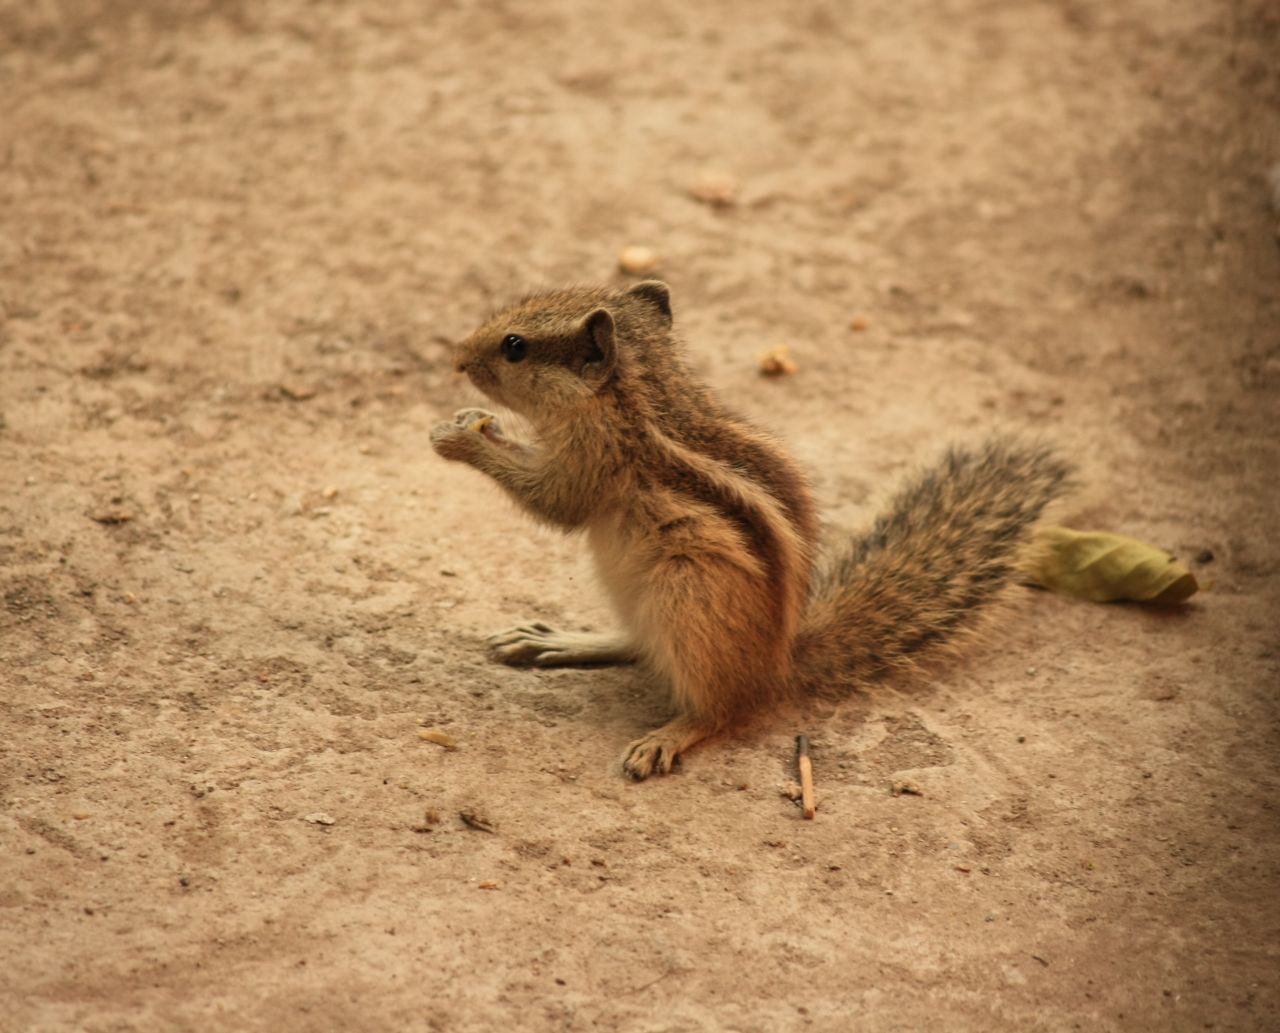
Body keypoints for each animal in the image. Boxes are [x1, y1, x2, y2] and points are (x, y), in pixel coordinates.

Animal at [435, 279, 1075, 778]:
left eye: (514, 346)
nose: (458, 358)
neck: (640, 391)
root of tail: (777, 666)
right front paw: (470, 421)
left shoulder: (594, 459)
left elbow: (553, 502)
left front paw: (460, 437)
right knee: (639, 646)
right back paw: (562, 640)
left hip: (685, 600)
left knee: (722, 709)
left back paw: (669, 735)